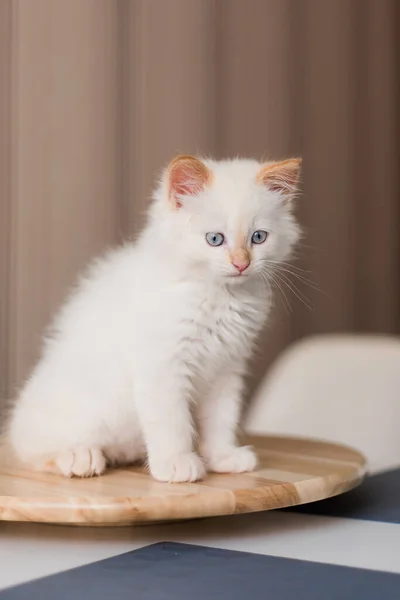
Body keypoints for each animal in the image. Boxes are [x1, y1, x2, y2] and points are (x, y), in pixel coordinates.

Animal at [7, 155, 302, 482]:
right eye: (215, 239)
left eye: (258, 238)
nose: (241, 264)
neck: (220, 296)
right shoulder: (163, 366)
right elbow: (172, 423)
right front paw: (176, 464)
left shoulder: (227, 369)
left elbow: (221, 420)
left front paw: (223, 457)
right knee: (32, 450)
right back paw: (79, 457)